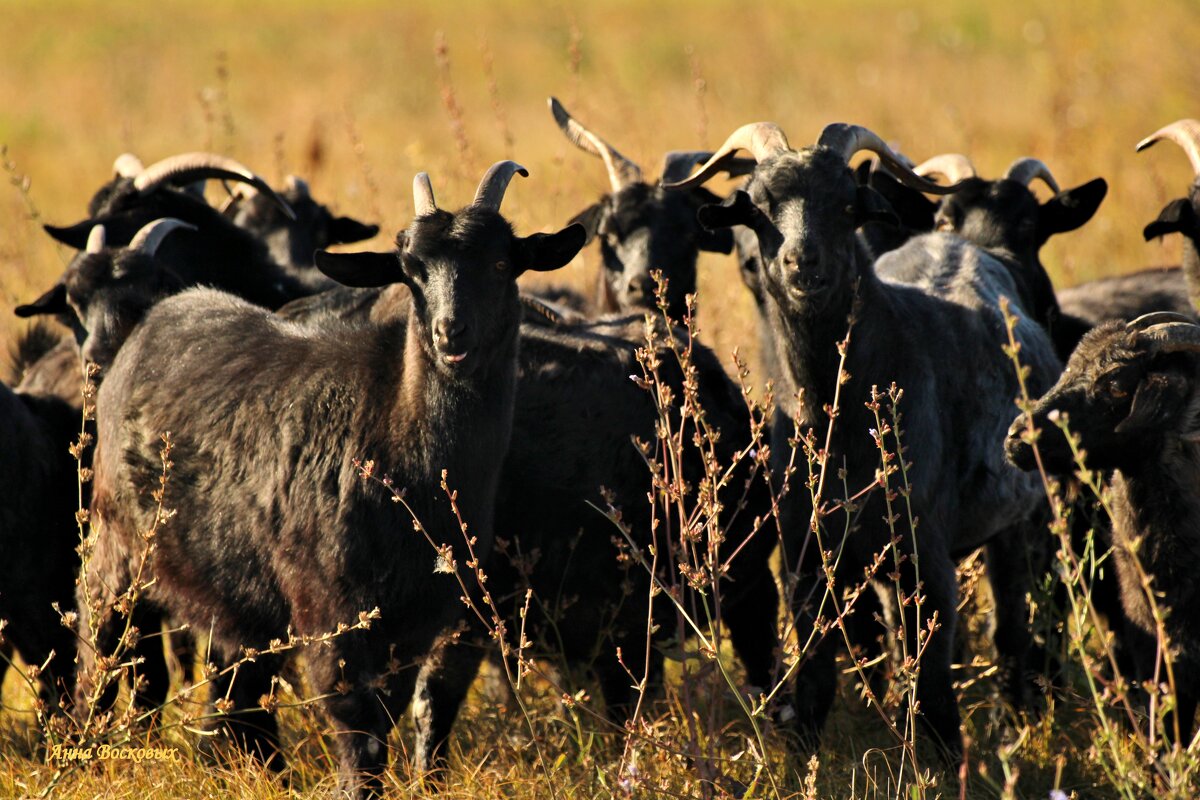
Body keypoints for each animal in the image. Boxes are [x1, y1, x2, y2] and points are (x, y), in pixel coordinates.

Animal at [82, 163, 583, 796]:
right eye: (410, 270)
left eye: (501, 264)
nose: (451, 333)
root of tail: (140, 330)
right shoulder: (329, 612)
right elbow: (357, 724)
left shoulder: (417, 620)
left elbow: (391, 711)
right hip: (118, 547)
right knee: (101, 644)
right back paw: (80, 745)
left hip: (238, 591)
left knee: (239, 683)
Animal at [672, 122, 1065, 762]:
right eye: (756, 206)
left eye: (846, 205)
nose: (802, 261)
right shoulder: (807, 559)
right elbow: (816, 678)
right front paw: (805, 759)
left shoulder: (924, 556)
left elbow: (933, 686)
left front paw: (946, 766)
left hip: (1023, 519)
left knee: (1013, 625)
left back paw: (1019, 720)